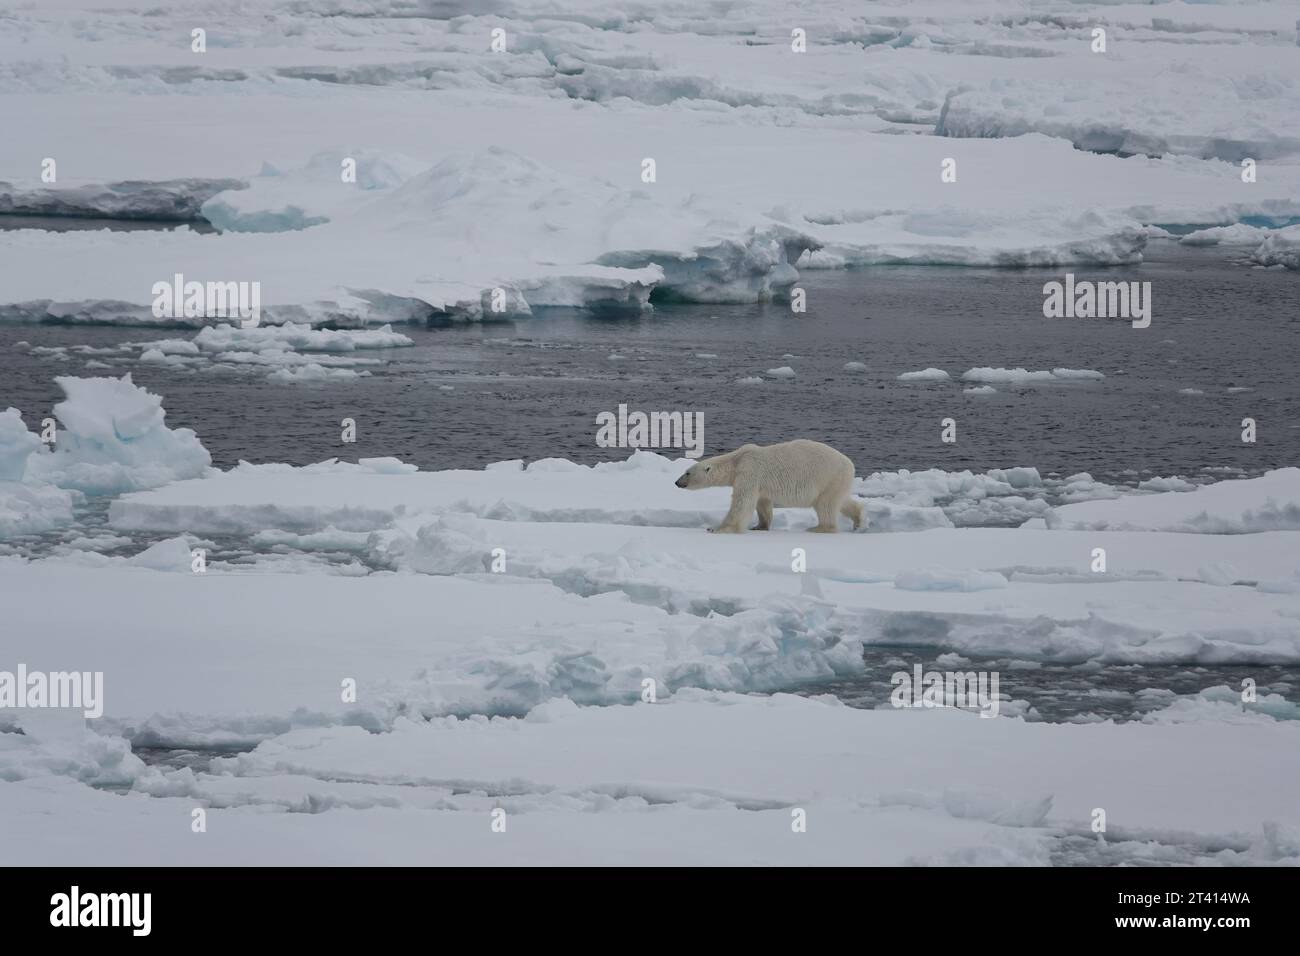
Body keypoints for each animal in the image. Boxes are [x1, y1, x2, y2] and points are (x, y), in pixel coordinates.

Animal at [674, 439, 864, 533]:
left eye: (687, 472)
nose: (677, 482)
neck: (737, 460)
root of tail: (850, 465)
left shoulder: (749, 472)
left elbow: (742, 502)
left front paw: (717, 528)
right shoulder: (759, 483)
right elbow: (762, 503)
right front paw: (760, 526)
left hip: (828, 477)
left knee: (825, 505)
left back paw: (819, 528)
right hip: (837, 482)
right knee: (841, 501)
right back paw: (859, 521)